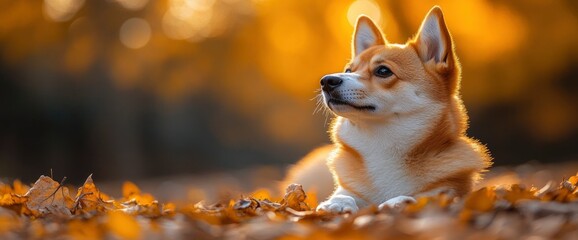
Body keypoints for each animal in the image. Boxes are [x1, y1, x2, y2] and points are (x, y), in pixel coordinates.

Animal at [282, 5, 488, 213]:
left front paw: (397, 202)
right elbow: (345, 194)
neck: (381, 144)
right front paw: (336, 203)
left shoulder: (447, 191)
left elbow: (423, 197)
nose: (326, 81)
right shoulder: (349, 189)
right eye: (349, 70)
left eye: (383, 71)